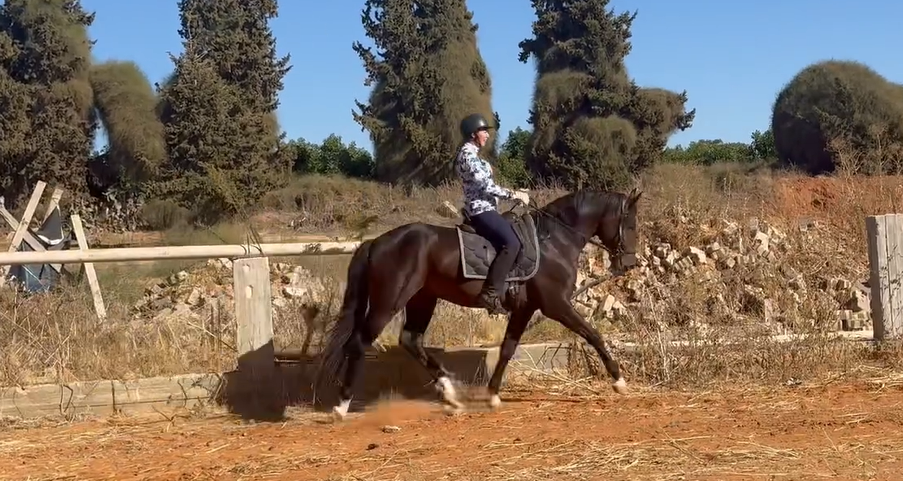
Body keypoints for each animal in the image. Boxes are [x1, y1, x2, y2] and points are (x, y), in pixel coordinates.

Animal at [315, 187, 643, 419]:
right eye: (630, 224)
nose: (629, 264)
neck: (554, 241)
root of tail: (376, 242)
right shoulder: (556, 305)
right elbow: (593, 335)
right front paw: (619, 381)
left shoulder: (525, 309)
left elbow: (508, 349)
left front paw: (493, 394)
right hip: (389, 301)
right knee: (359, 343)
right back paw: (342, 406)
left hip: (423, 299)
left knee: (411, 340)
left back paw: (450, 394)